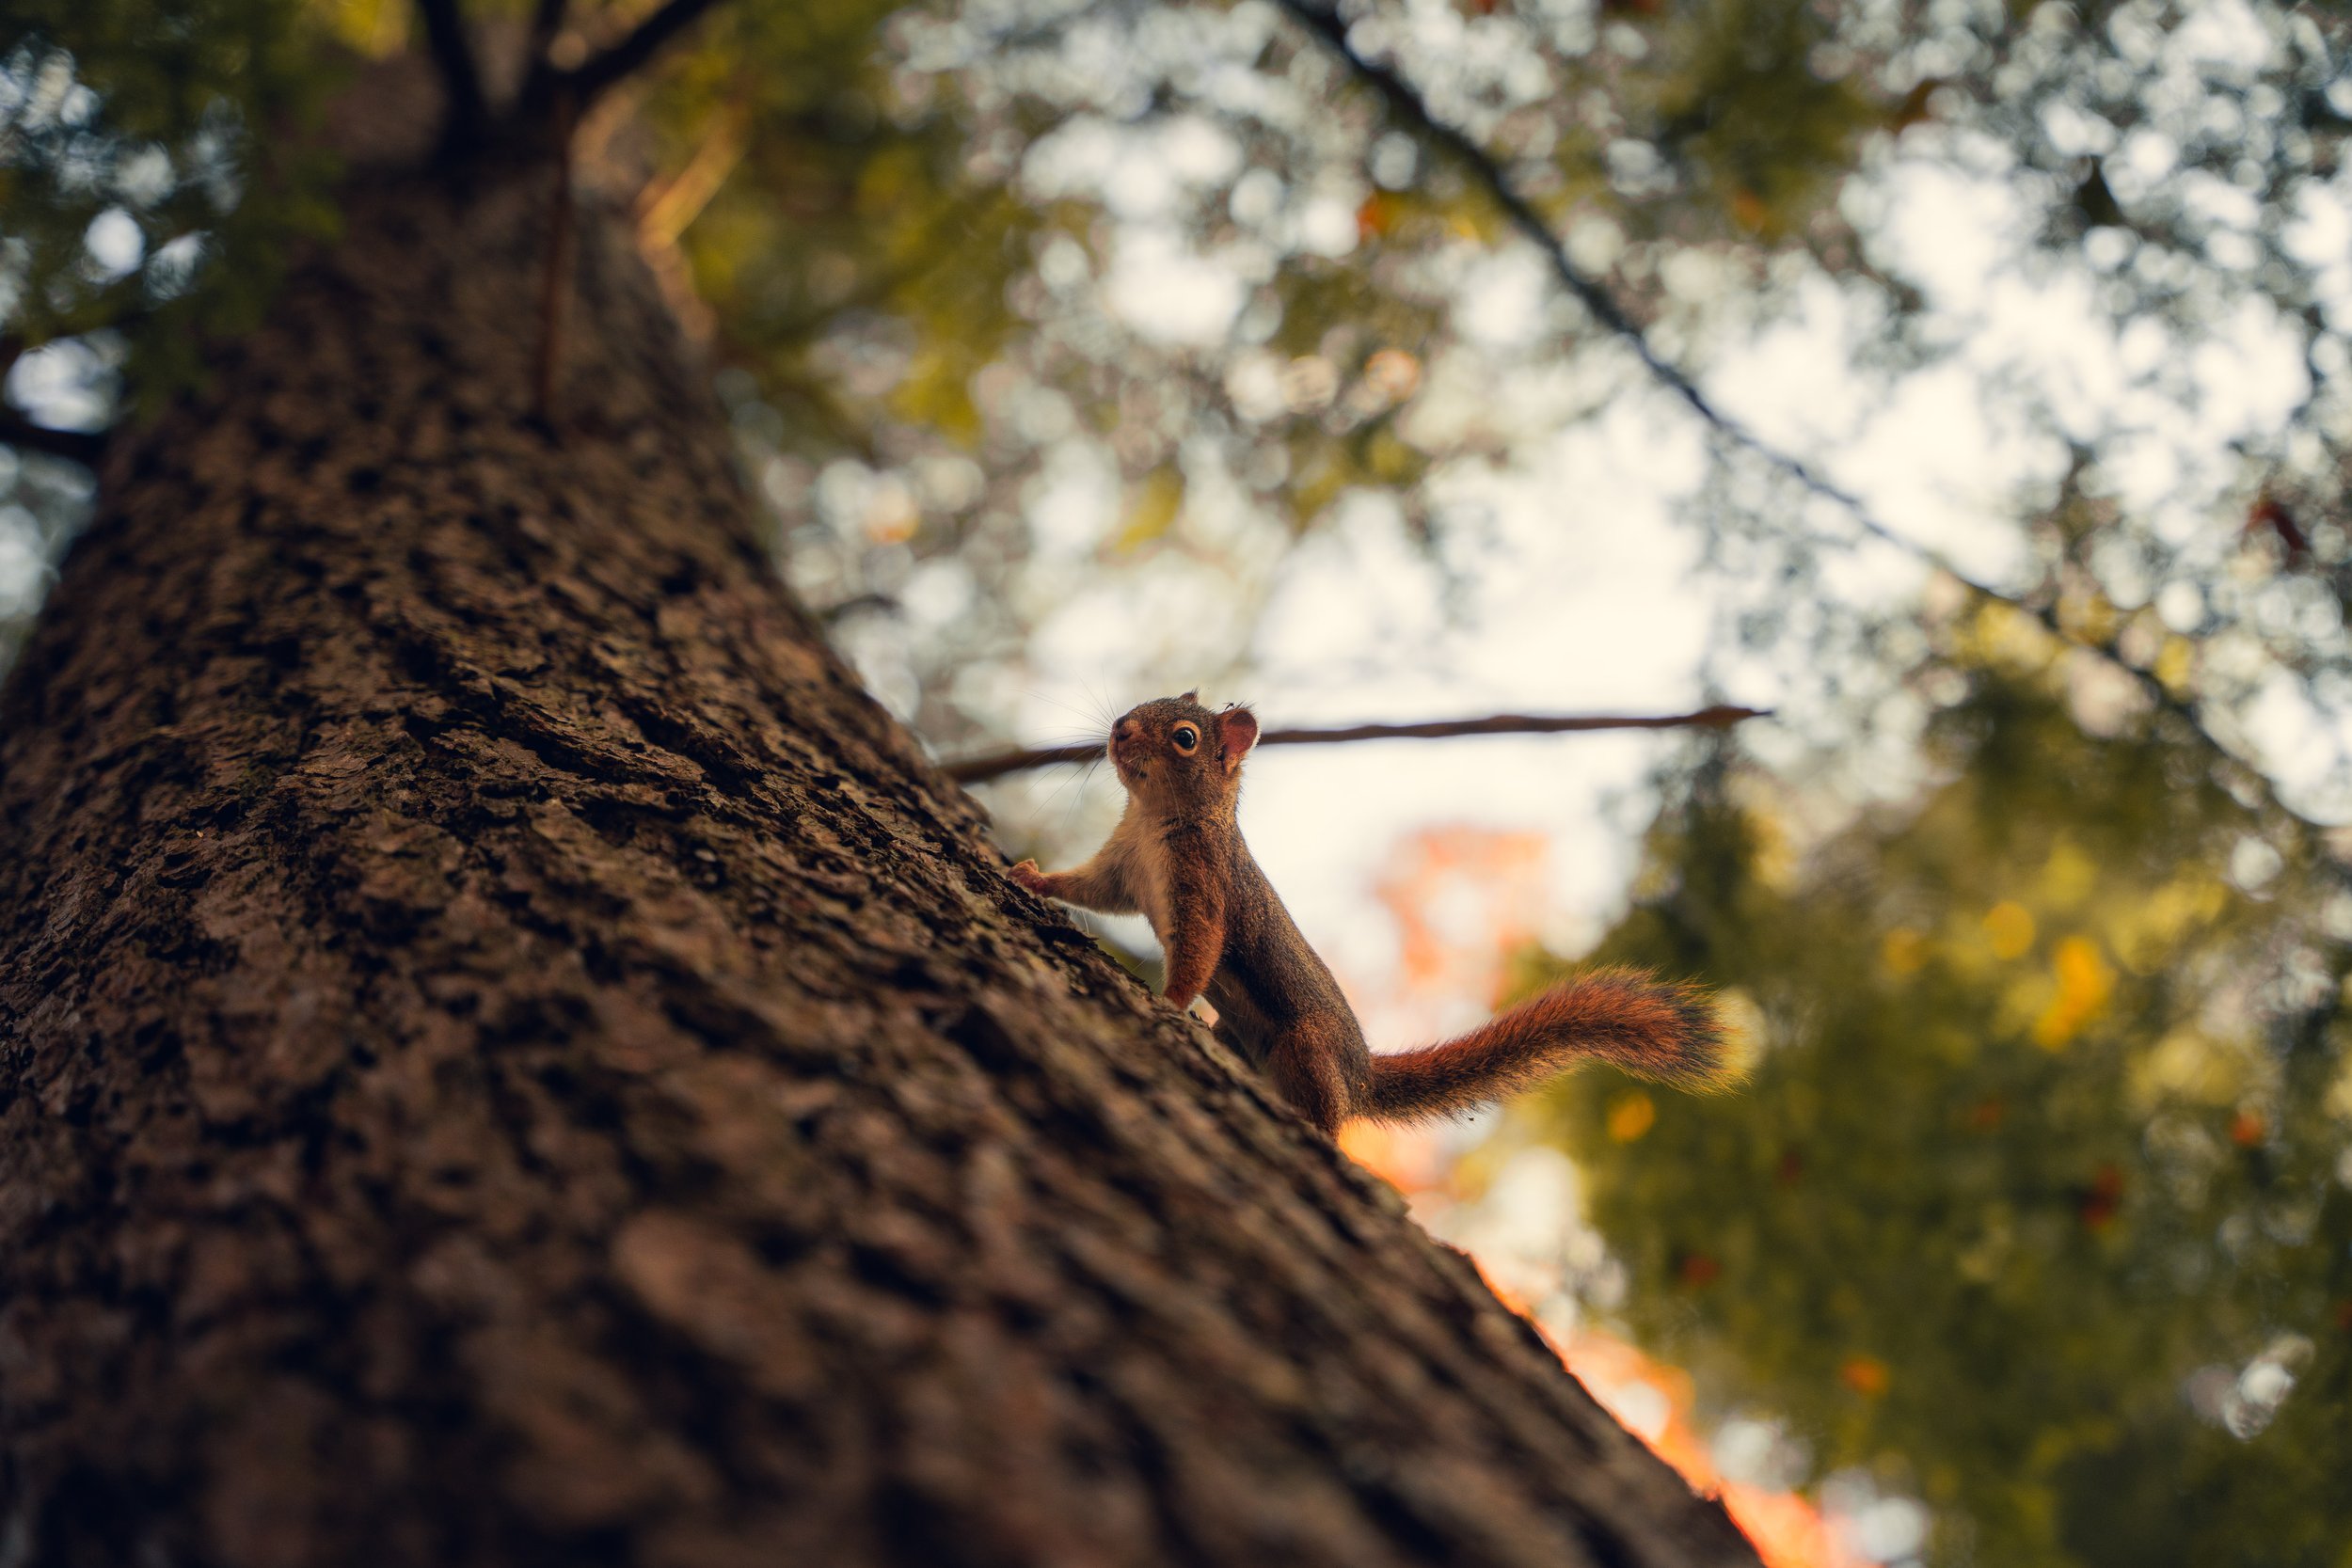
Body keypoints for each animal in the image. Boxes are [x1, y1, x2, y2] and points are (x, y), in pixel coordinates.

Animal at [1007, 693, 1732, 1136]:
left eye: (1184, 737)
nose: (1119, 729)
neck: (1157, 819)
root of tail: (1359, 1074)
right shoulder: (1125, 868)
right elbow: (1089, 887)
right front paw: (1032, 876)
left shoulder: (1205, 889)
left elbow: (1198, 951)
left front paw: (1168, 1002)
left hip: (1306, 1047)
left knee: (1329, 1121)